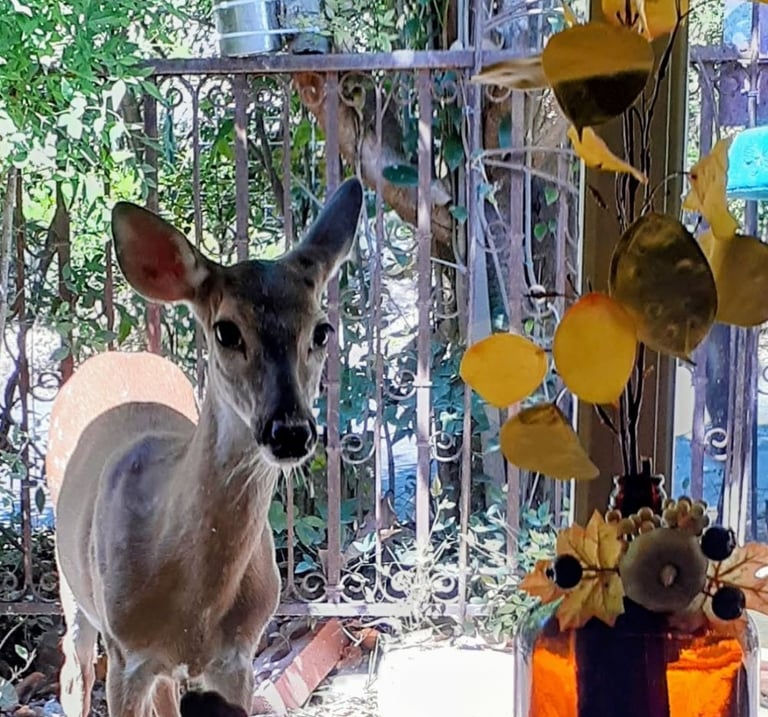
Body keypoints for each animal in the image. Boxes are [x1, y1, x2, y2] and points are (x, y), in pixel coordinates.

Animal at [45, 178, 364, 717]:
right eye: (226, 330)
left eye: (322, 330)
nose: (290, 431)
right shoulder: (126, 654)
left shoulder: (238, 656)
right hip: (74, 580)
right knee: (74, 669)